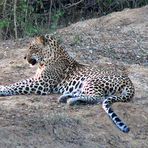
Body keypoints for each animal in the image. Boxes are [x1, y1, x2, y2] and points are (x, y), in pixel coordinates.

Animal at [0, 34, 134, 133]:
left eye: (32, 47)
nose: (24, 57)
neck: (46, 60)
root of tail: (129, 81)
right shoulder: (36, 79)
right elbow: (19, 82)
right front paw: (3, 86)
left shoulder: (41, 83)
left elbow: (18, 85)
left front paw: (2, 90)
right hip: (84, 85)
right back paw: (65, 97)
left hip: (91, 81)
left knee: (98, 98)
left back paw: (71, 100)